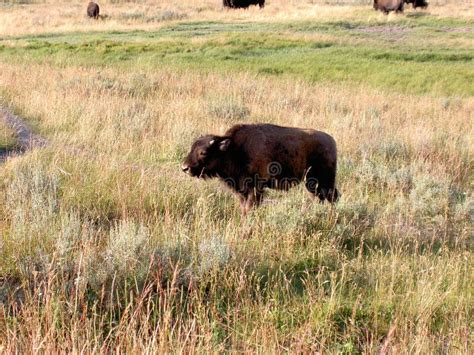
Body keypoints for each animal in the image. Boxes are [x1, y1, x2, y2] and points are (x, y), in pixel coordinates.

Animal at [180, 124, 338, 216]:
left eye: (203, 152)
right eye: (192, 147)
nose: (185, 167)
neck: (234, 149)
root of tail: (331, 141)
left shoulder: (255, 188)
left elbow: (250, 208)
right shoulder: (241, 190)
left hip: (324, 181)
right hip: (312, 183)